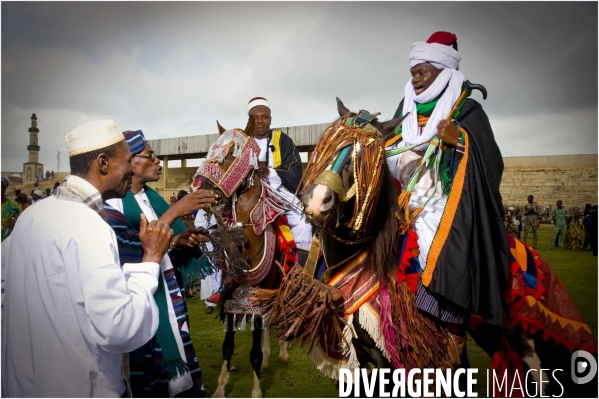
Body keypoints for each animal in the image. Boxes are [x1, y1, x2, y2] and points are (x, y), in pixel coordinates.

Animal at [192, 117, 302, 398]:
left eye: (233, 153)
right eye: (211, 148)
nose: (198, 187)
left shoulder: (255, 301)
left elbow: (252, 352)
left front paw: (256, 391)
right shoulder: (233, 299)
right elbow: (228, 346)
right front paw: (221, 387)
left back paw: (281, 353)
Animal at [255, 98, 596, 396]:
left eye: (366, 157)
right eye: (328, 144)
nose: (316, 201)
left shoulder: (394, 365)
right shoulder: (362, 362)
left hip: (532, 351)